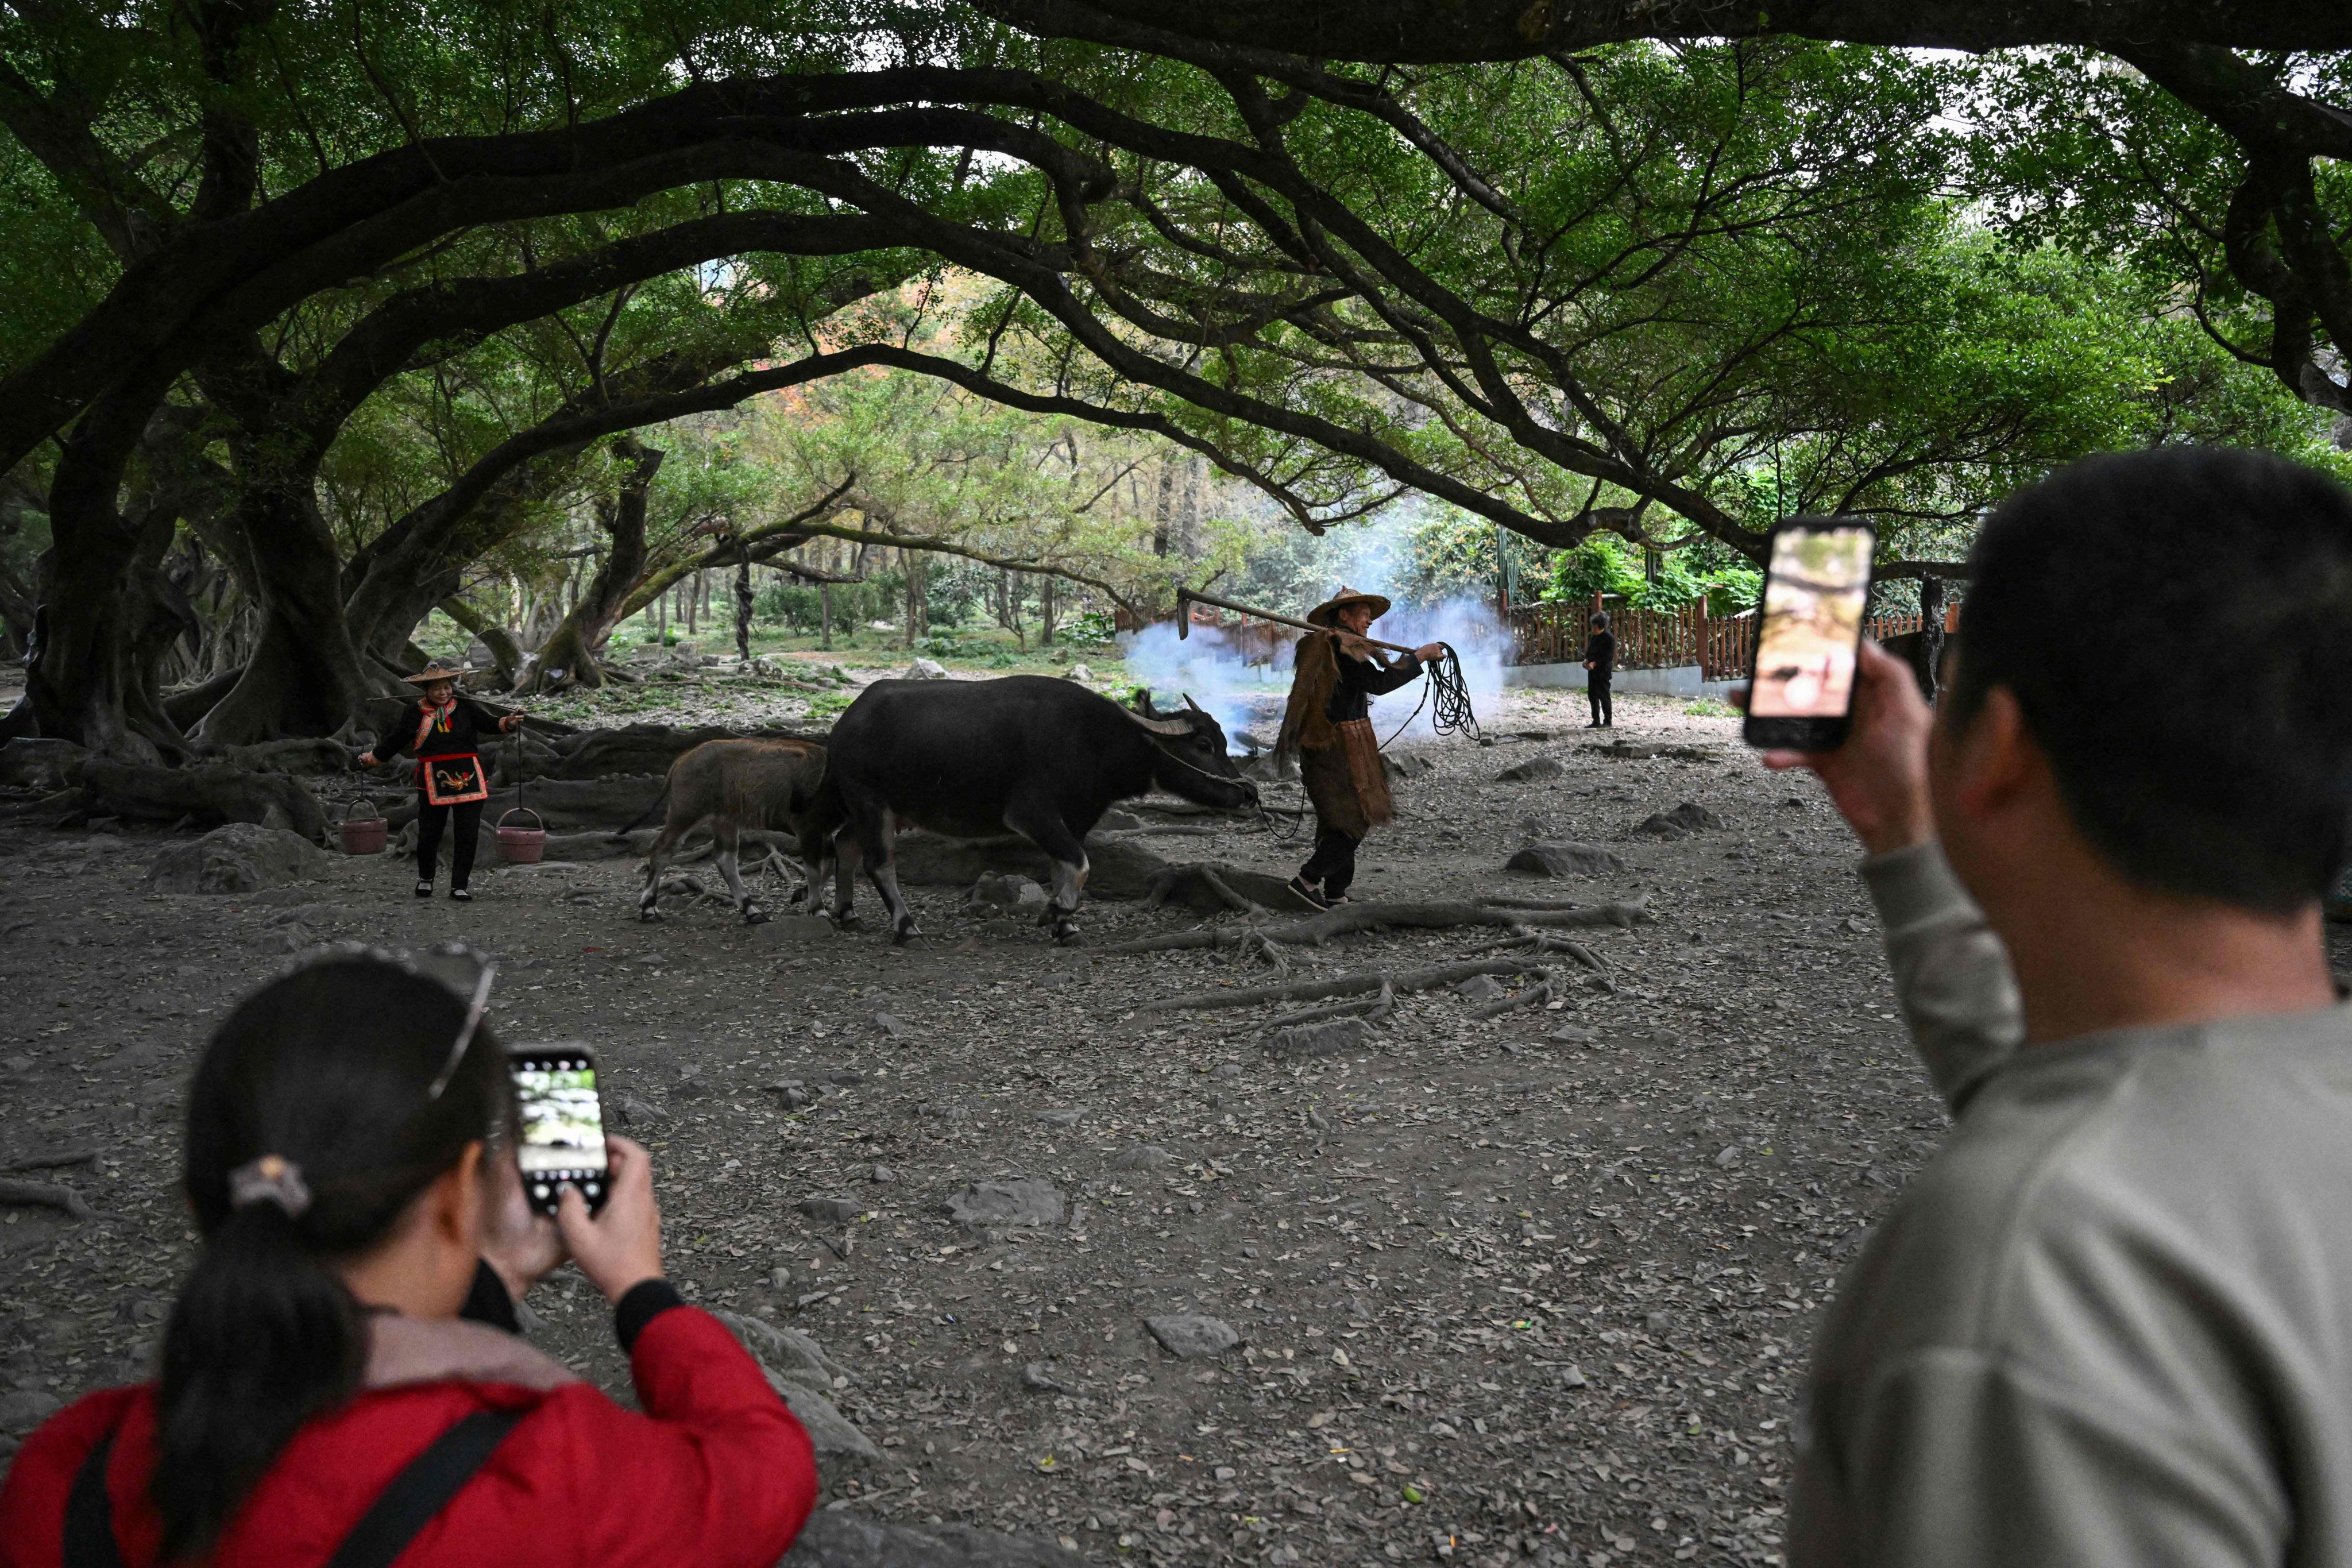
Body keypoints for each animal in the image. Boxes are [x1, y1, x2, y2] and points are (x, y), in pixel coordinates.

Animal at [630, 743, 842, 926]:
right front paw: (818, 909)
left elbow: (830, 865)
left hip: (725, 821)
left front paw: (801, 894)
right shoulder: (808, 830)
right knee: (662, 849)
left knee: (725, 858)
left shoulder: (825, 833)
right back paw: (648, 909)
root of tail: (682, 761)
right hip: (686, 813)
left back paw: (752, 910)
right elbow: (814, 871)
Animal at [832, 677, 1270, 945]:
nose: (1248, 793)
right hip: (872, 805)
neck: (1094, 743)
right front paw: (1055, 912)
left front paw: (1067, 925)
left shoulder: (1075, 821)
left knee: (844, 844)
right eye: (1202, 746)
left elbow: (1067, 868)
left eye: (1223, 741)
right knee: (879, 865)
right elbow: (1080, 864)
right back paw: (906, 928)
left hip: (869, 811)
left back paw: (846, 913)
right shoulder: (1031, 815)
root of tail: (845, 723)